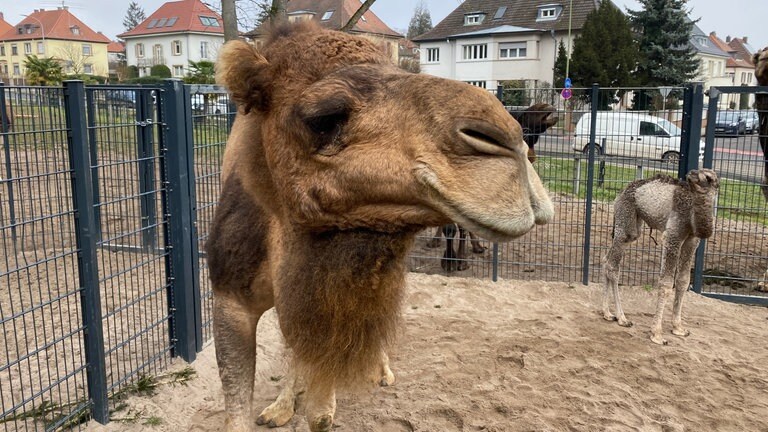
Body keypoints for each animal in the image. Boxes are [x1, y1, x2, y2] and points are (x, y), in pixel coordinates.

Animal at [207, 22, 548, 432]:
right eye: (324, 117)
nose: (513, 144)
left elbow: (320, 414)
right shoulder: (229, 299)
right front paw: (280, 406)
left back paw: (380, 370)